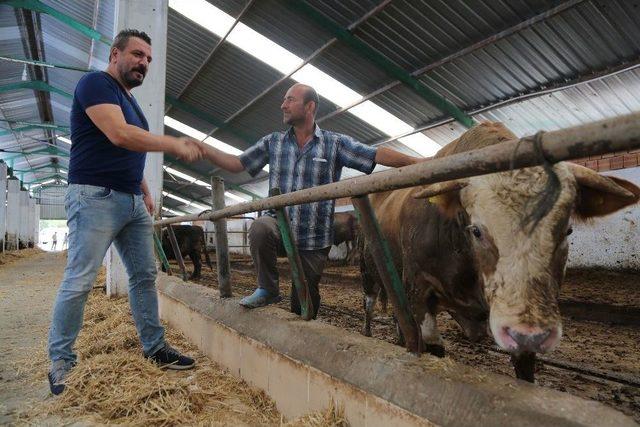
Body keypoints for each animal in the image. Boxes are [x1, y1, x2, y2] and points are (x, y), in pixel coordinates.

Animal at [360, 122, 640, 382]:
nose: (531, 334)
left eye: (567, 230)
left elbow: (524, 367)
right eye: (476, 231)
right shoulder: (418, 288)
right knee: (370, 305)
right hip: (370, 274)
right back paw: (367, 334)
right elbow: (431, 346)